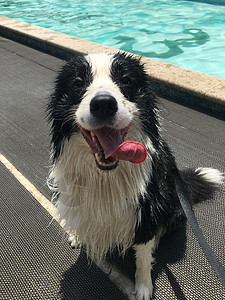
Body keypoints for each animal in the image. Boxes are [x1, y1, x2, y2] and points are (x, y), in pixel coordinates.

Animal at [47, 52, 223, 298]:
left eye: (126, 80)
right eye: (78, 83)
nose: (103, 104)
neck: (106, 176)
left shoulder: (147, 208)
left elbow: (143, 255)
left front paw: (143, 287)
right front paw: (78, 235)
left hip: (174, 204)